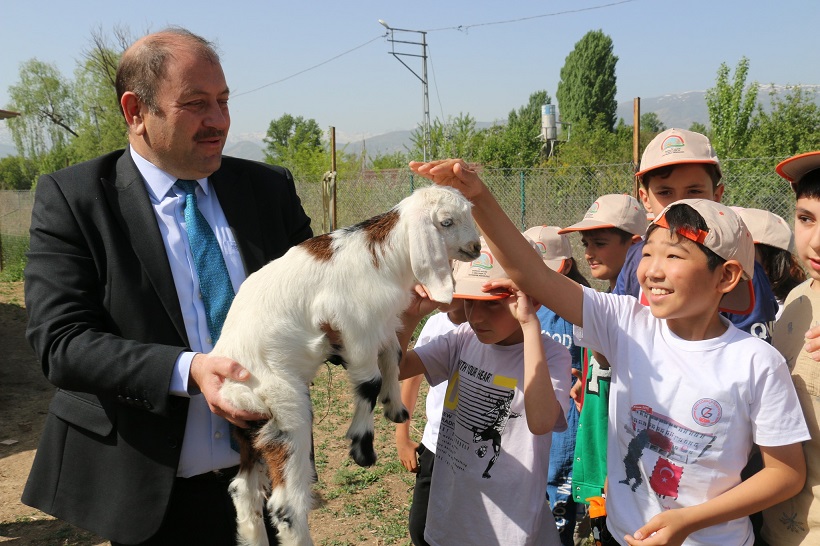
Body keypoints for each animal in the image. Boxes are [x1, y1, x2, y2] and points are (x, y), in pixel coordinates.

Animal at [215, 185, 480, 540]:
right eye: (447, 222)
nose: (476, 247)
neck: (385, 257)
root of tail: (232, 391)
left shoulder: (381, 325)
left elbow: (393, 355)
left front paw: (395, 408)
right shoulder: (355, 326)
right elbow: (369, 382)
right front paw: (362, 447)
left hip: (249, 430)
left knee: (242, 490)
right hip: (286, 414)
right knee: (286, 505)